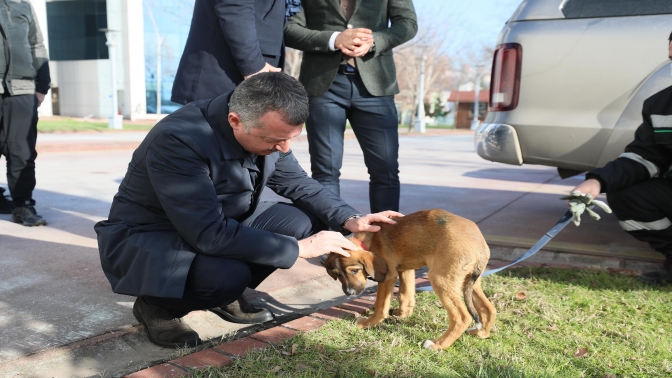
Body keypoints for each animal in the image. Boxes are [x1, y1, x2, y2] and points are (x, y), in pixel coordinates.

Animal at [322, 208, 496, 350]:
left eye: (354, 270)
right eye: (337, 274)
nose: (349, 293)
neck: (369, 239)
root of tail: (480, 245)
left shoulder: (388, 276)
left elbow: (380, 306)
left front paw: (368, 324)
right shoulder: (405, 270)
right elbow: (404, 295)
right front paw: (402, 314)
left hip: (440, 279)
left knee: (461, 317)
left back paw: (437, 345)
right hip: (469, 281)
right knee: (488, 308)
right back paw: (481, 333)